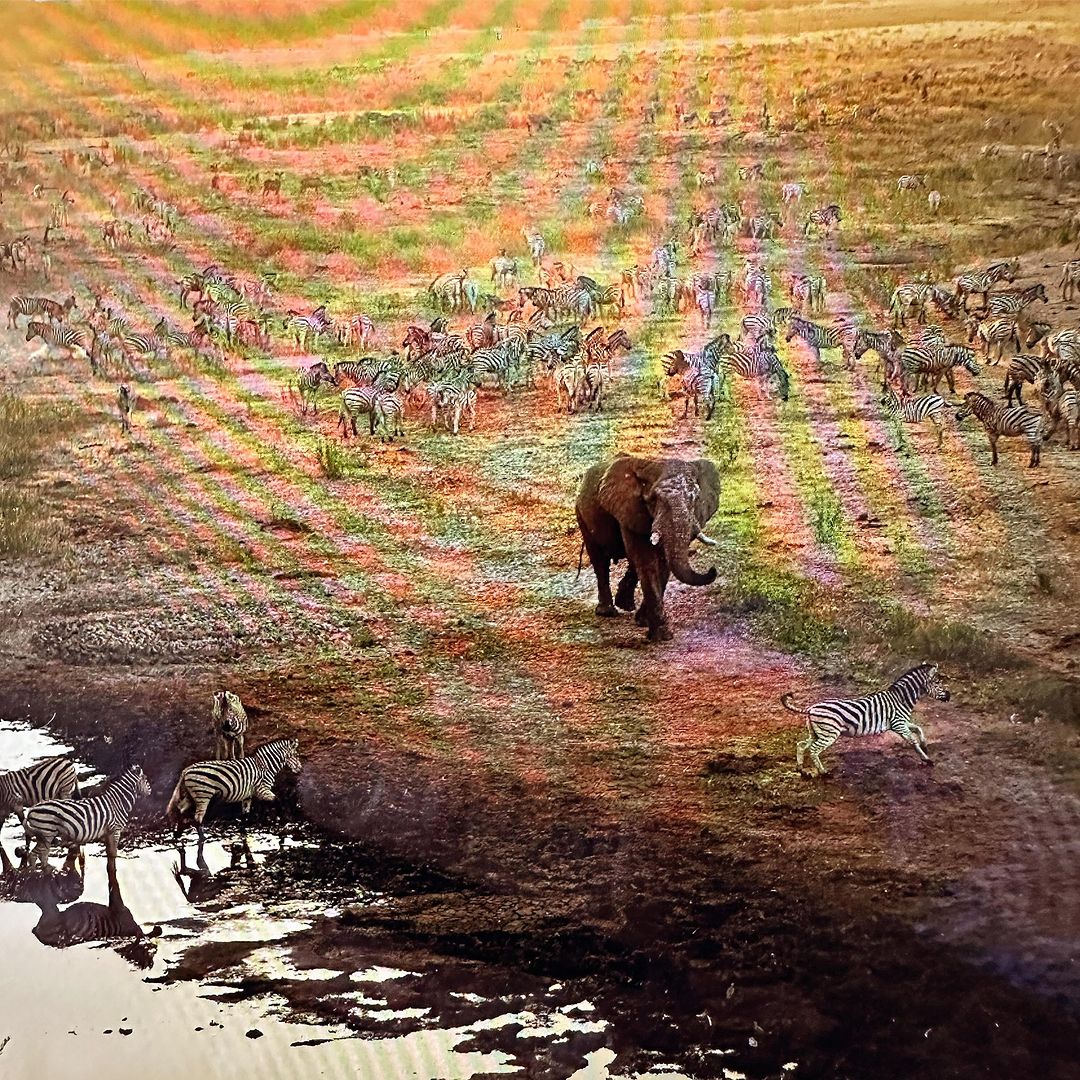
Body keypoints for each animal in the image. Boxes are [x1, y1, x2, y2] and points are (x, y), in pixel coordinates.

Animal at [166, 738, 301, 846]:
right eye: (295, 755)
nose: (300, 770)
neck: (265, 766)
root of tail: (186, 770)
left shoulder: (248, 795)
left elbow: (245, 814)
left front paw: (243, 831)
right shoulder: (262, 790)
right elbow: (278, 801)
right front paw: (283, 821)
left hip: (191, 794)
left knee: (181, 809)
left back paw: (178, 834)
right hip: (203, 795)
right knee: (197, 818)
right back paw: (202, 838)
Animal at [575, 455, 721, 642]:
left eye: (695, 499)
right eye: (654, 500)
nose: (712, 569)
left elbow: (663, 563)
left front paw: (643, 621)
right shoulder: (628, 509)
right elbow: (646, 560)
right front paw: (662, 636)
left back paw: (625, 604)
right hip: (581, 513)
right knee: (600, 561)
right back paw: (607, 612)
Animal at [783, 663, 950, 777]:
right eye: (937, 683)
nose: (949, 696)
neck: (900, 699)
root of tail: (810, 708)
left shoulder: (901, 721)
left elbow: (918, 729)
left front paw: (925, 746)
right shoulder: (898, 724)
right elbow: (912, 740)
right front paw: (926, 759)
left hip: (817, 732)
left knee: (801, 745)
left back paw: (801, 769)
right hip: (829, 733)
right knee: (813, 749)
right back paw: (823, 772)